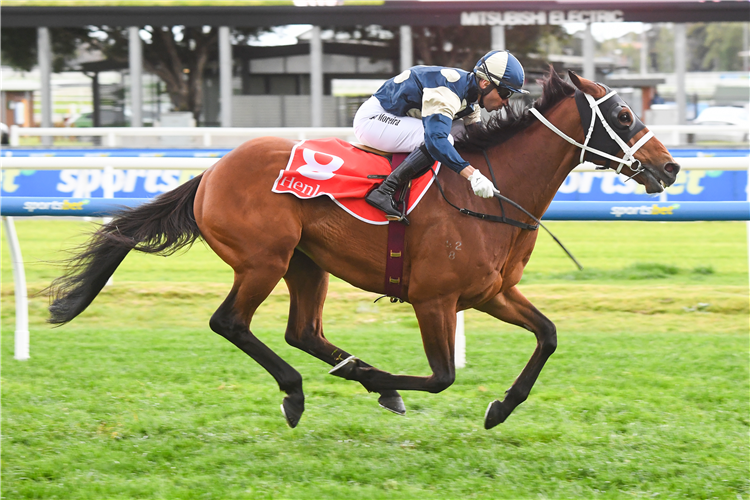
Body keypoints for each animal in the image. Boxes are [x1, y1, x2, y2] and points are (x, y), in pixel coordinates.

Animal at [47, 70, 680, 430]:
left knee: (302, 331)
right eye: (624, 114)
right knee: (230, 322)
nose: (671, 167)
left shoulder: (492, 292)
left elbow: (547, 335)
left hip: (306, 264)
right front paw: (386, 385)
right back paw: (299, 392)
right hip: (262, 261)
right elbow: (441, 377)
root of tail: (211, 172)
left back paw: (348, 375)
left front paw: (500, 408)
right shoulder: (433, 299)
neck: (501, 193)